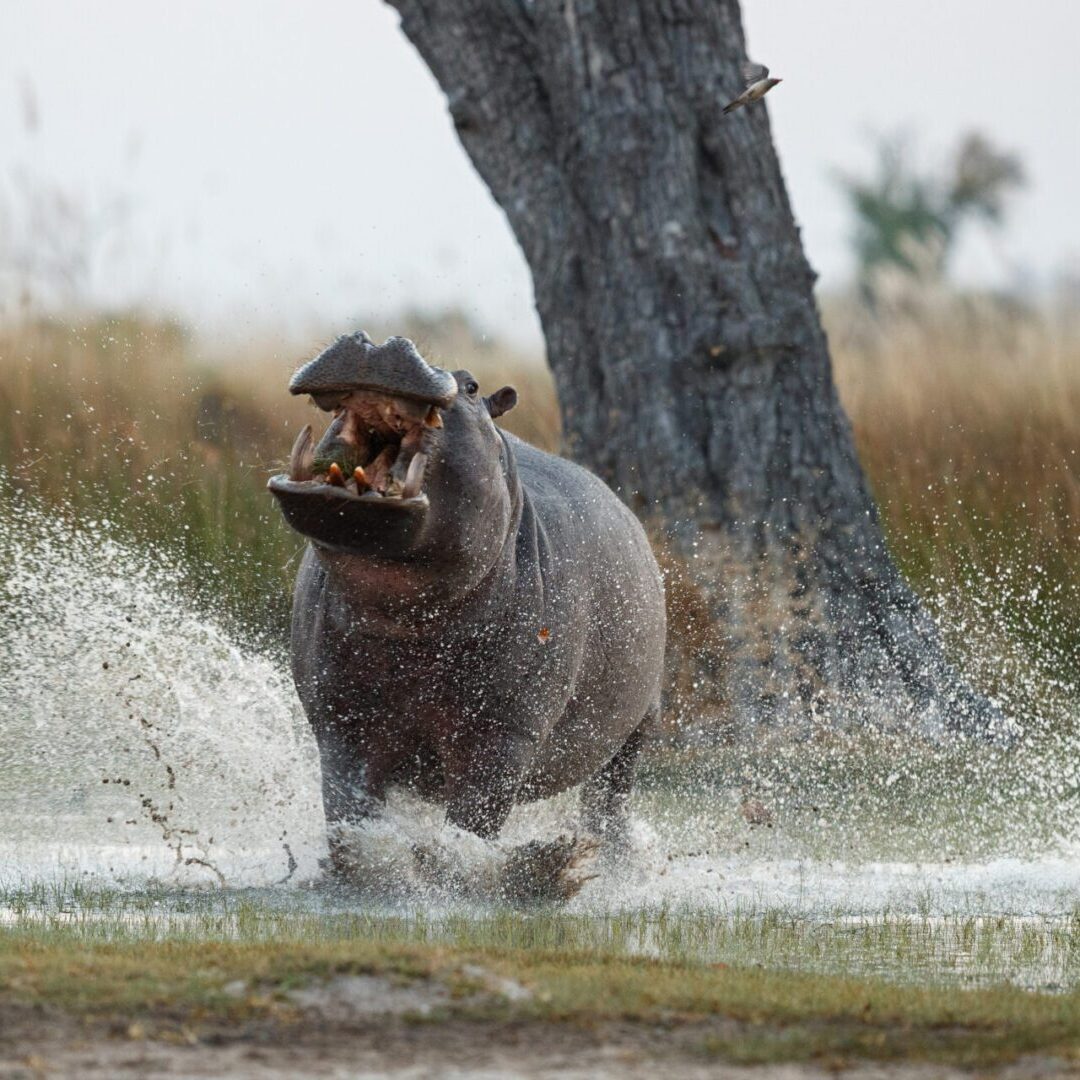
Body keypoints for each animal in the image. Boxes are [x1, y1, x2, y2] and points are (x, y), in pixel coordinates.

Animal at [268, 332, 665, 897]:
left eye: (473, 386)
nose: (376, 344)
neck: (408, 613)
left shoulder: (504, 733)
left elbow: (475, 820)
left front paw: (512, 872)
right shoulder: (341, 718)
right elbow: (348, 808)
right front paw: (364, 869)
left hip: (637, 727)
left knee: (609, 798)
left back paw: (613, 865)